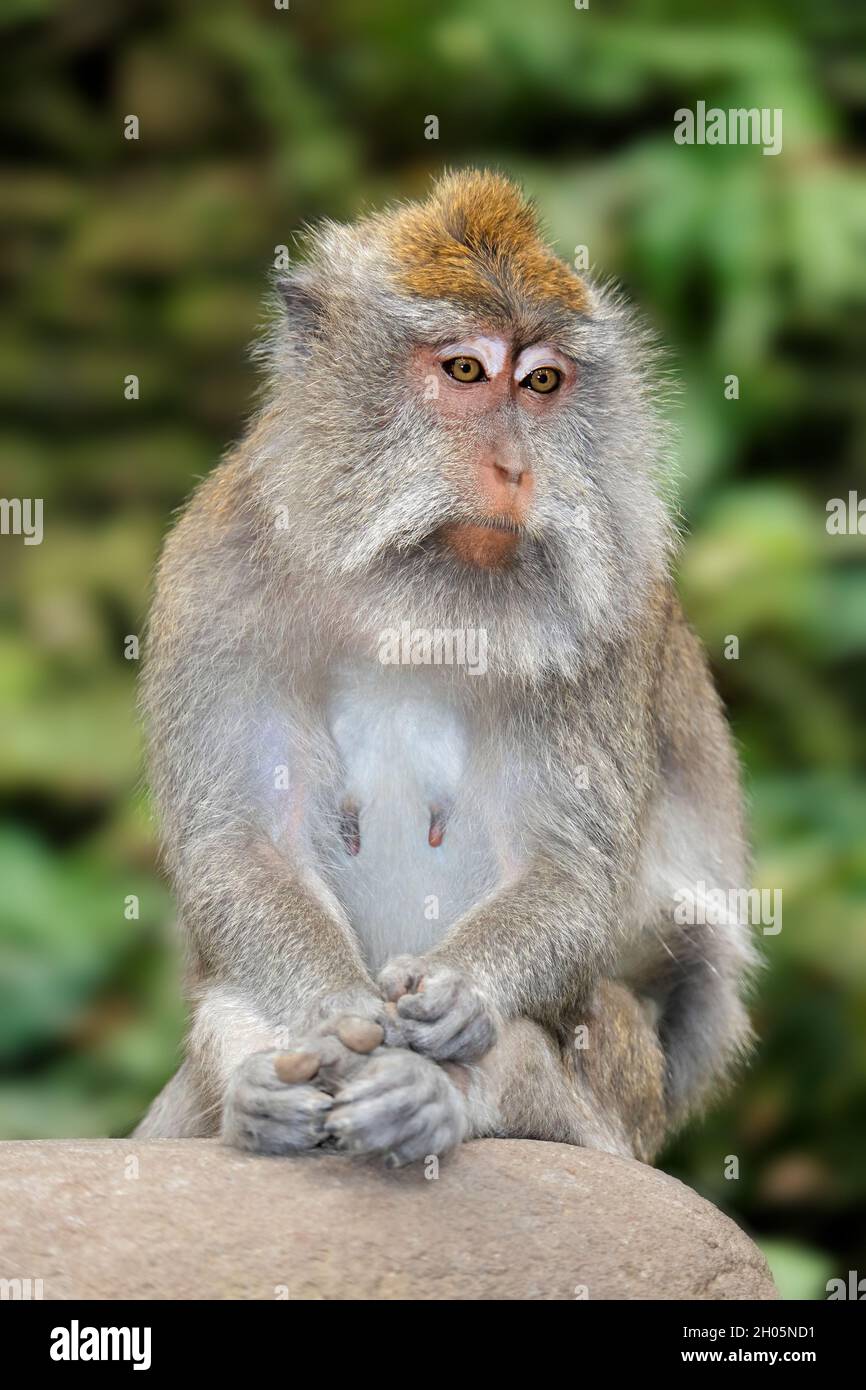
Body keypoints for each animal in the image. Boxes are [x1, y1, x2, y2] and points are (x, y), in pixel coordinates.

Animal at [134, 168, 750, 1167]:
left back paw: (441, 1096)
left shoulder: (610, 617)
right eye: (466, 371)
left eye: (541, 382)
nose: (515, 468)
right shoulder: (215, 575)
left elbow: (571, 871)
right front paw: (333, 1014)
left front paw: (463, 1001)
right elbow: (239, 843)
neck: (417, 606)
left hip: (629, 1105)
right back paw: (263, 1098)